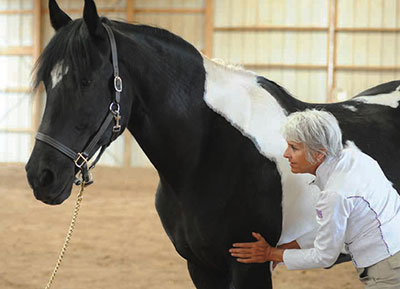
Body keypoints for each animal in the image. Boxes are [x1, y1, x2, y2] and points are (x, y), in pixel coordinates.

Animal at [25, 1, 400, 286]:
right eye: (47, 81)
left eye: (86, 81)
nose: (41, 176)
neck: (209, 152)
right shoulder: (201, 266)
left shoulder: (250, 267)